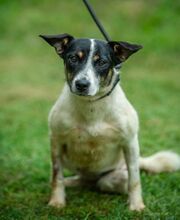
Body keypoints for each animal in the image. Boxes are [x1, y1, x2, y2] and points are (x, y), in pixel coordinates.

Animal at [39, 33, 180, 211]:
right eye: (73, 58)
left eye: (102, 62)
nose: (82, 84)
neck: (92, 105)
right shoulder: (56, 141)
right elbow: (56, 176)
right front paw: (57, 201)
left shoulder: (130, 142)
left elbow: (134, 180)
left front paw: (136, 205)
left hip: (115, 174)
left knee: (104, 182)